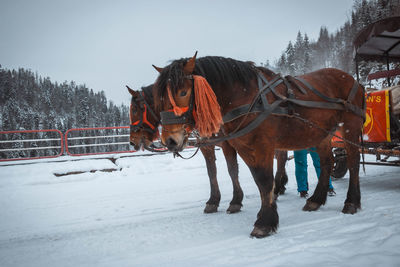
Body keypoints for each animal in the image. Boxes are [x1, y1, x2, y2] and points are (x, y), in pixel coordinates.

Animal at [126, 84, 290, 214]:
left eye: (134, 110)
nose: (132, 141)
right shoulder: (207, 145)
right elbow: (211, 171)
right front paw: (213, 201)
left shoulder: (227, 143)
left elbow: (232, 170)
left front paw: (236, 200)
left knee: (281, 158)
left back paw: (277, 187)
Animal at [152, 53, 366, 238]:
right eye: (159, 99)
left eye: (183, 92)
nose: (169, 141)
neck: (247, 98)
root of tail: (352, 79)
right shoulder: (243, 147)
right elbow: (256, 179)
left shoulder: (262, 146)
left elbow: (264, 180)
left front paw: (264, 222)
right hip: (321, 133)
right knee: (327, 161)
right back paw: (316, 200)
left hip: (350, 126)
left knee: (353, 161)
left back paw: (351, 202)